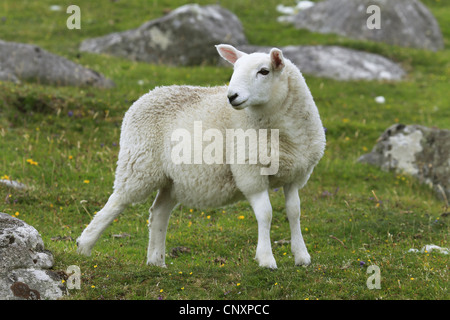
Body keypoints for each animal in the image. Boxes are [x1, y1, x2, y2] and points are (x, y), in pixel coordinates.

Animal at [76, 43, 324, 268]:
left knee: (158, 212)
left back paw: (156, 261)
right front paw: (266, 259)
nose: (231, 96)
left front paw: (302, 256)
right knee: (117, 202)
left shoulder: (296, 175)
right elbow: (266, 214)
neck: (285, 135)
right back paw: (84, 245)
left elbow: (294, 212)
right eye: (234, 69)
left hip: (173, 180)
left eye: (264, 71)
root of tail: (147, 94)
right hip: (139, 164)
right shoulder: (250, 173)